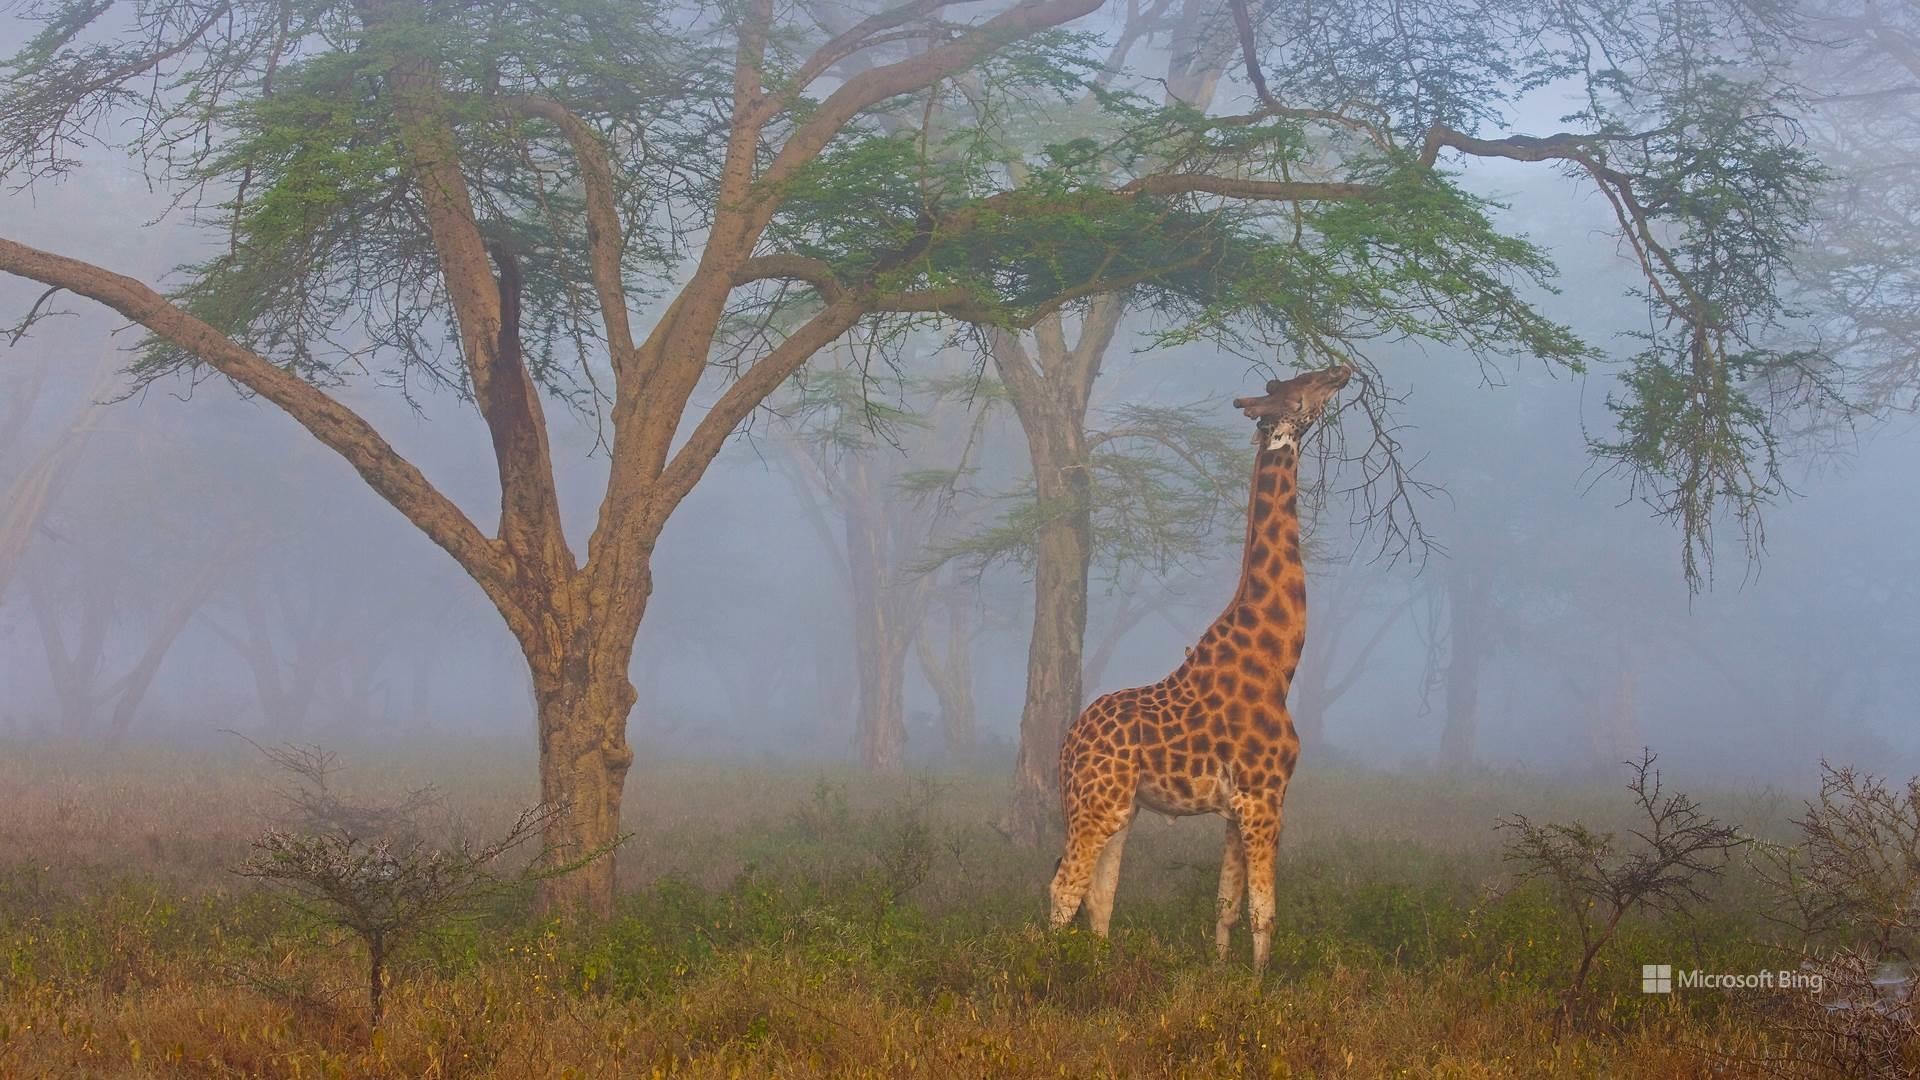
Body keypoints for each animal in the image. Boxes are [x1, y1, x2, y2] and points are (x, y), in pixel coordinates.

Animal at [1047, 365, 1352, 970]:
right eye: (1301, 385)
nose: (1343, 370)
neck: (1279, 662)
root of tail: (1069, 740)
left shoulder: (1237, 808)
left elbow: (1227, 906)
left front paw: (1221, 975)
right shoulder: (1264, 795)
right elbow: (1264, 911)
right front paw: (1260, 985)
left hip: (1120, 807)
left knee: (1099, 892)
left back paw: (1099, 968)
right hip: (1097, 803)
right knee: (1064, 887)